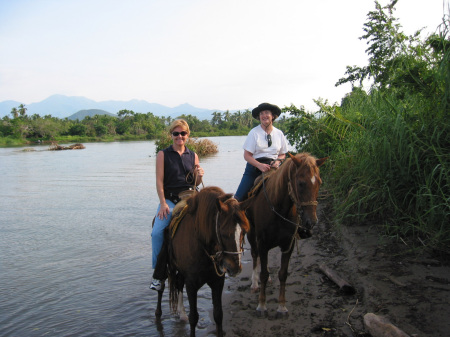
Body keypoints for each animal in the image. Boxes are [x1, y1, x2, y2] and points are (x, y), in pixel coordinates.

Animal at [156, 185, 251, 336]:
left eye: (244, 232)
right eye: (223, 233)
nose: (235, 267)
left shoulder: (218, 282)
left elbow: (218, 315)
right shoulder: (191, 284)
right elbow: (194, 317)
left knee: (178, 283)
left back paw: (182, 313)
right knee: (161, 285)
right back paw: (158, 312)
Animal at [243, 152, 326, 316]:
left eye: (319, 182)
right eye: (300, 183)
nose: (311, 221)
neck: (279, 209)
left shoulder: (288, 245)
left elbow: (282, 274)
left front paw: (281, 306)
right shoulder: (263, 244)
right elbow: (263, 273)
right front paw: (262, 305)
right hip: (252, 234)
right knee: (255, 256)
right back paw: (254, 283)